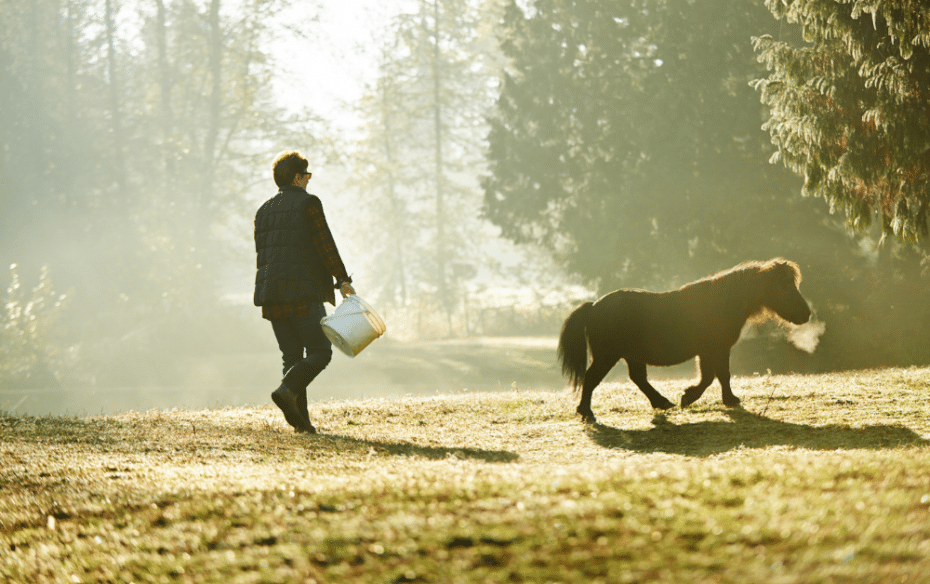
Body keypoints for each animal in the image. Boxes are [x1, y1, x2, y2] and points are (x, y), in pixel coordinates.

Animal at [556, 258, 808, 422]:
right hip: (607, 356)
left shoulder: (708, 351)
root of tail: (593, 306)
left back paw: (661, 403)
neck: (722, 302)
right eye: (785, 286)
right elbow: (718, 376)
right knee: (591, 378)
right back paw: (586, 413)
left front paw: (703, 398)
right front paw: (707, 398)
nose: (806, 314)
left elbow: (712, 376)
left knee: (638, 379)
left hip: (631, 356)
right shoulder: (716, 349)